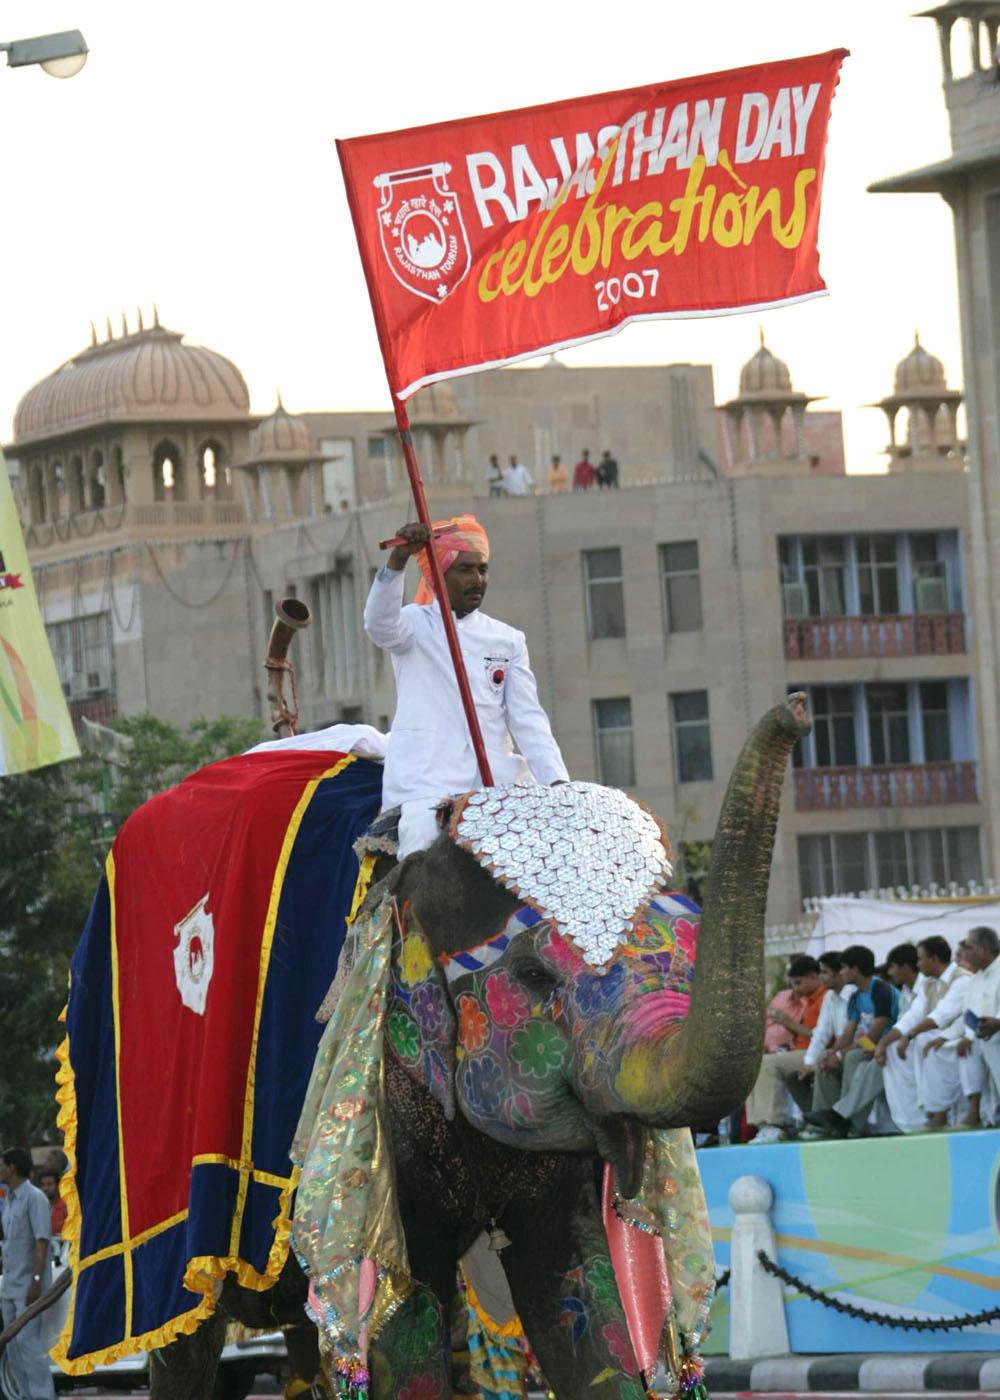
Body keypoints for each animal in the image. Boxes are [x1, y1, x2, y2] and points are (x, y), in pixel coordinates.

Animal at [144, 694, 806, 1400]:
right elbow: (404, 1319)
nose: (798, 710)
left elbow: (581, 1293)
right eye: (536, 975)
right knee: (185, 1347)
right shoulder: (389, 1102)